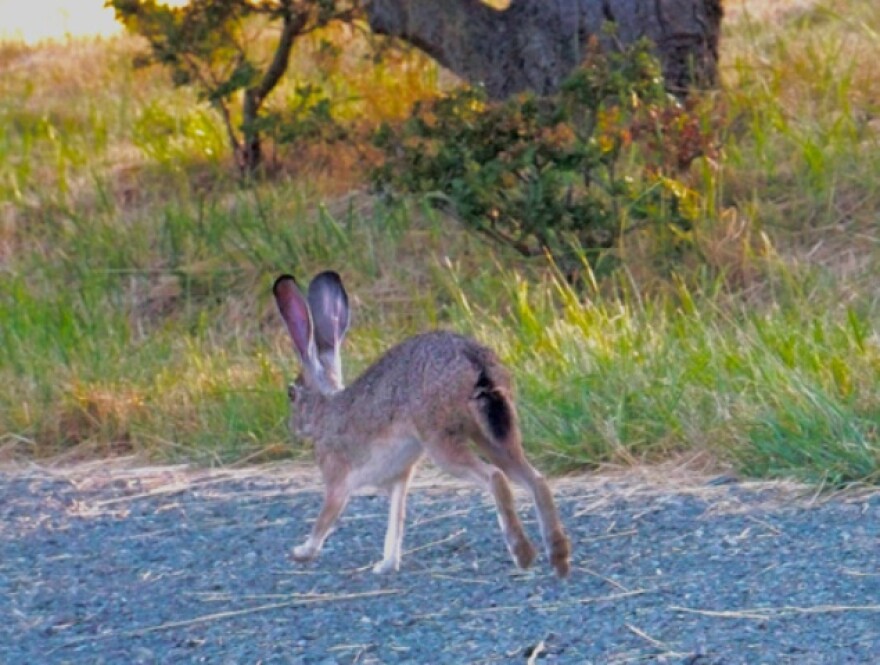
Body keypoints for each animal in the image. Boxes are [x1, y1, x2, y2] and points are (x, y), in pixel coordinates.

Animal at [273, 270, 571, 577]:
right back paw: (559, 557)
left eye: (291, 394)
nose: (293, 427)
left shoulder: (337, 480)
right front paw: (386, 565)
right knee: (535, 479)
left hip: (441, 441)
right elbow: (396, 523)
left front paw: (301, 553)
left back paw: (523, 553)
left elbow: (324, 520)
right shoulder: (398, 478)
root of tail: (475, 363)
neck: (325, 410)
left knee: (495, 478)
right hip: (494, 433)